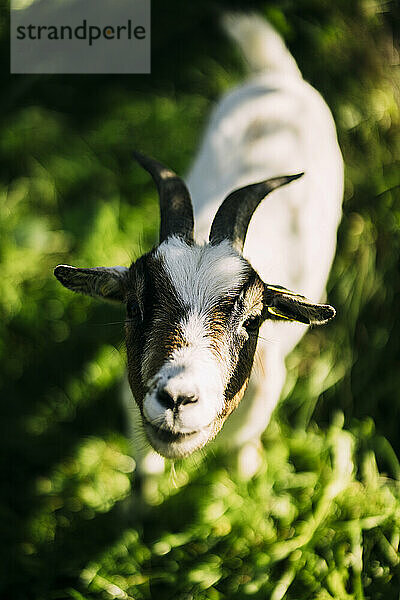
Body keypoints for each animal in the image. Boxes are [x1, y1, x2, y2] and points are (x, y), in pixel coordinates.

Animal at [54, 14, 344, 478]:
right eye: (133, 306)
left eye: (254, 319)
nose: (177, 398)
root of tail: (274, 75)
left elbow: (242, 452)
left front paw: (246, 470)